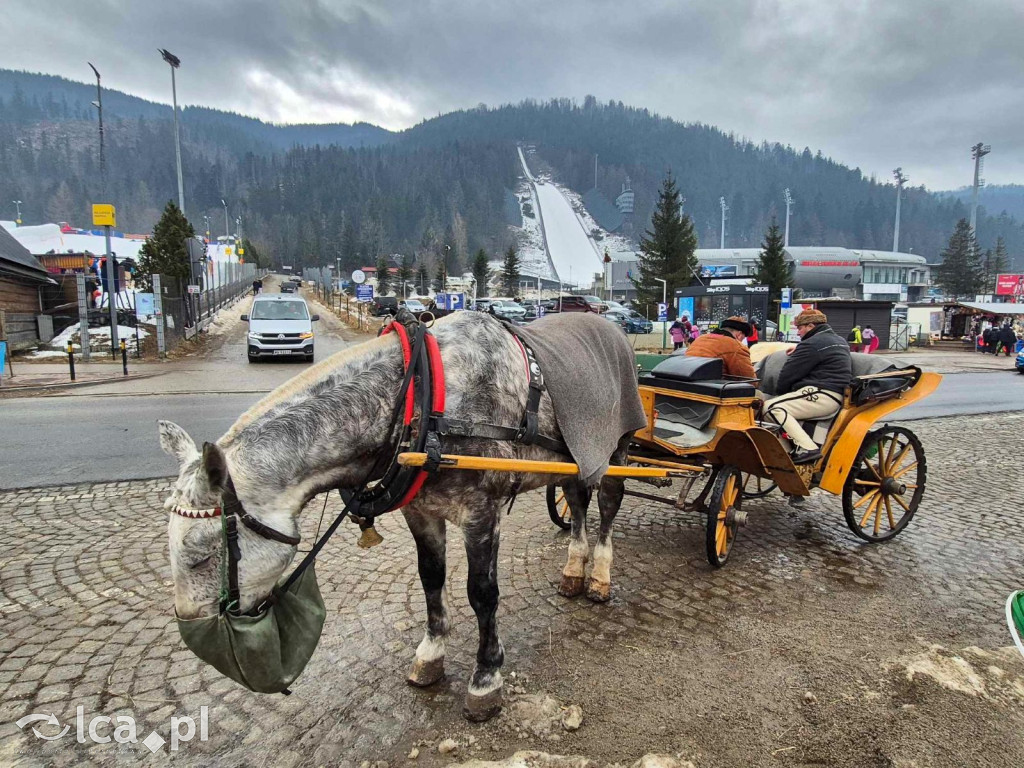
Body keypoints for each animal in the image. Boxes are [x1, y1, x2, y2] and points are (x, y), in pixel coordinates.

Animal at [159, 311, 630, 720]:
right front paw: (431, 654)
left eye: (202, 556)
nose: (192, 634)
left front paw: (485, 677)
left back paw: (599, 577)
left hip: (616, 450)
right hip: (574, 461)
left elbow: (482, 594)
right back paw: (574, 570)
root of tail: (610, 326)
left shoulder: (482, 512)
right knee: (577, 501)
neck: (425, 399)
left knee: (607, 503)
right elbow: (431, 579)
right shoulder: (419, 511)